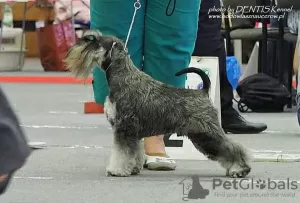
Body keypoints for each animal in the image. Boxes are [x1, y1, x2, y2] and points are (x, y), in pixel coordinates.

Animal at [63, 29, 251, 178]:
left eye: (94, 41)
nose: (71, 49)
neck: (123, 76)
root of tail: (203, 91)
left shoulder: (124, 128)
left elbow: (121, 152)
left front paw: (117, 170)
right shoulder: (133, 132)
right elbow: (135, 151)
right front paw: (133, 168)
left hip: (206, 133)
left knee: (232, 147)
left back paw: (240, 169)